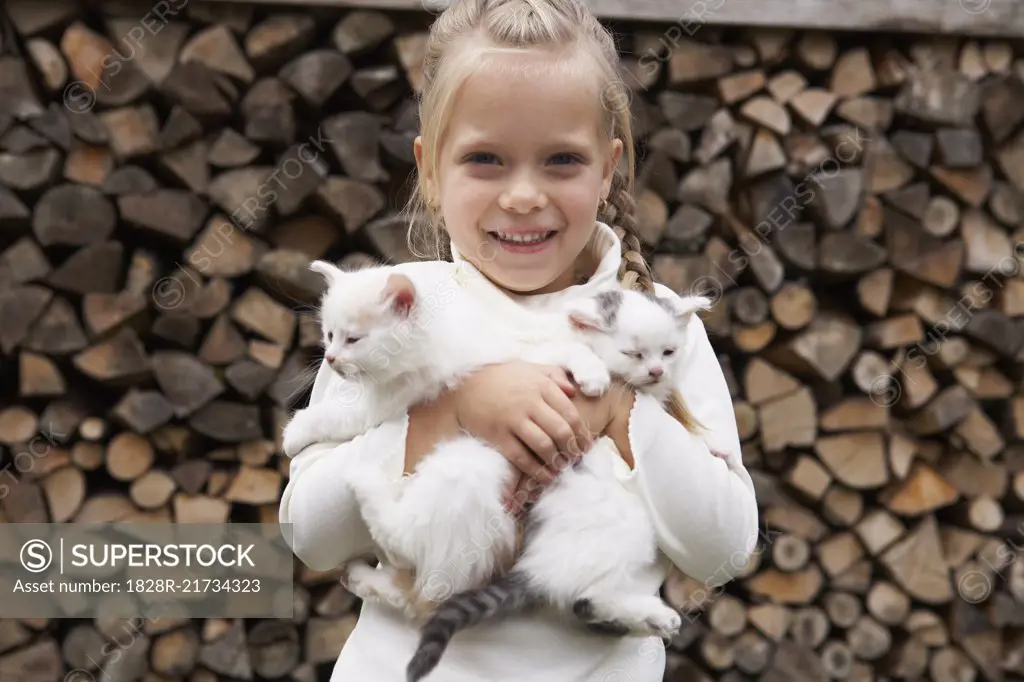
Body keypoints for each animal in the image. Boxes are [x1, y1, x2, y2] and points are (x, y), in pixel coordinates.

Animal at [403, 284, 708, 679]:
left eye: (669, 351)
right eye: (634, 353)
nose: (656, 370)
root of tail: (537, 566)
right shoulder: (528, 361)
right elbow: (569, 351)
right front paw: (594, 374)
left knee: (584, 602)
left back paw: (650, 618)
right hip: (627, 527)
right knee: (586, 597)